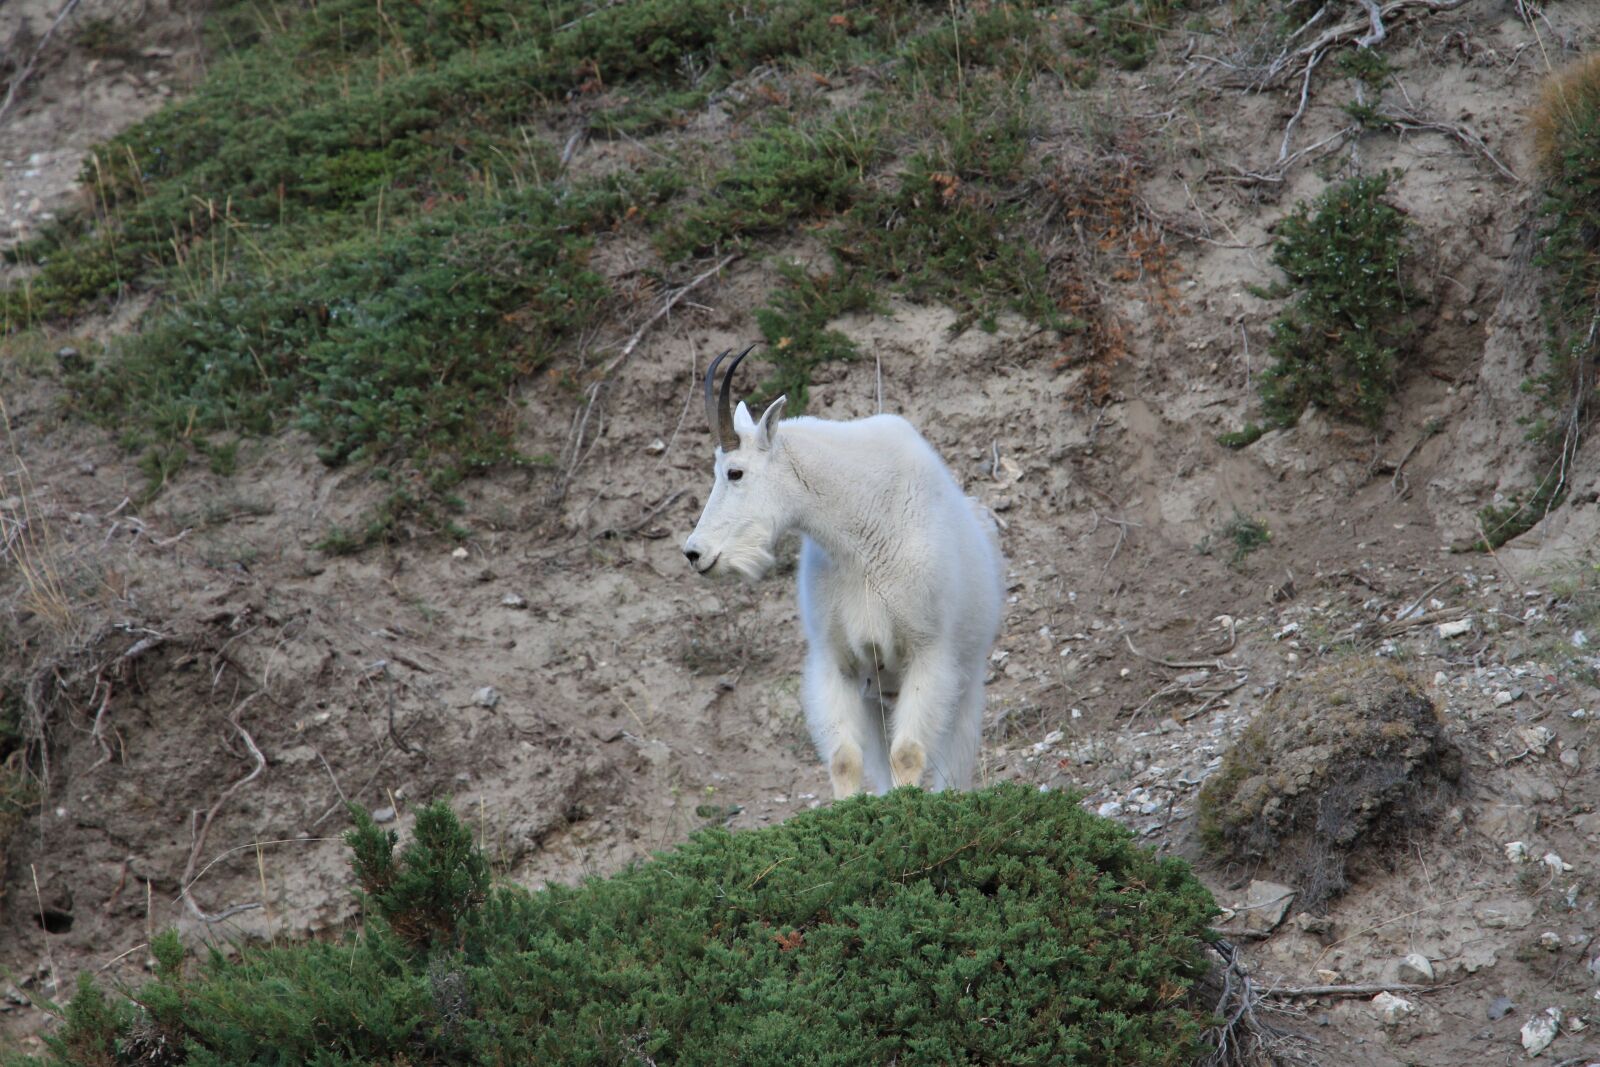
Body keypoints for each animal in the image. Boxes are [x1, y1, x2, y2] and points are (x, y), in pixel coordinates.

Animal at [681, 347, 1004, 796]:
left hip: (966, 680)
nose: (695, 553)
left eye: (735, 472)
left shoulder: (928, 652)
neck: (860, 531)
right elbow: (845, 759)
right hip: (878, 693)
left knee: (954, 763)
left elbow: (908, 753)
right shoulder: (838, 662)